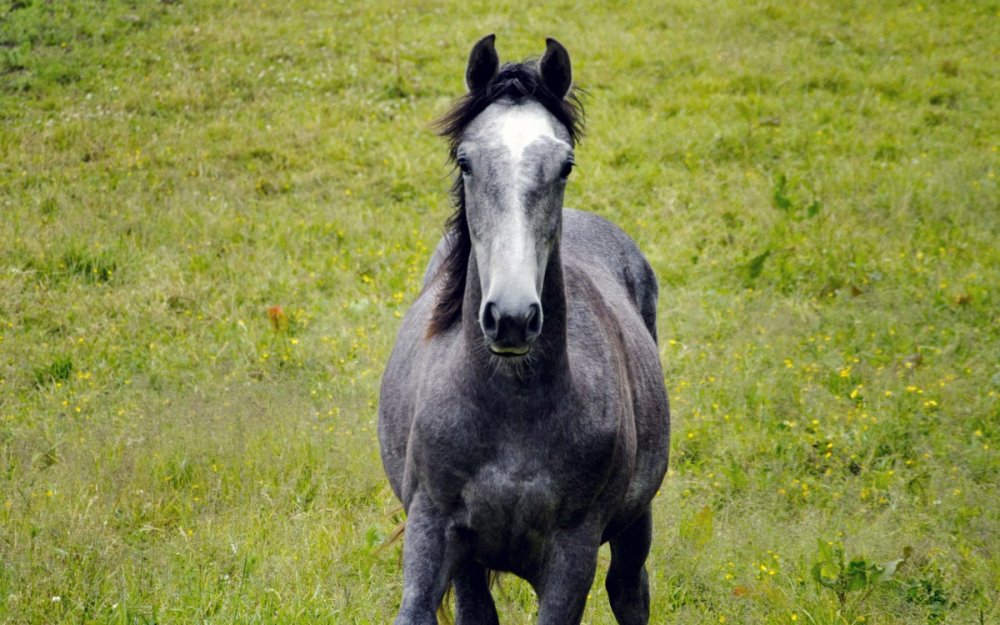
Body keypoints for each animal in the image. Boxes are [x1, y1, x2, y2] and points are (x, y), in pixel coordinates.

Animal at [376, 35, 672, 624]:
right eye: (465, 160)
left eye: (565, 164)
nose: (511, 318)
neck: (511, 411)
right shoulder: (432, 530)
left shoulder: (571, 556)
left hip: (635, 524)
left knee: (630, 590)